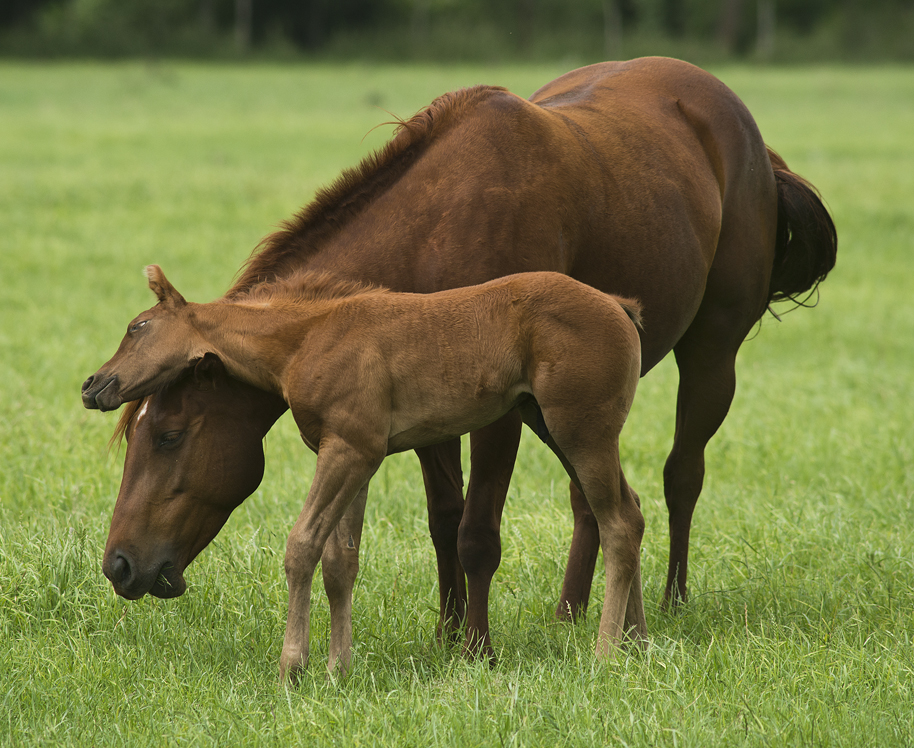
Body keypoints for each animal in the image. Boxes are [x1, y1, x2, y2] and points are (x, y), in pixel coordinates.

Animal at [84, 265, 647, 679]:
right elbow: (341, 562)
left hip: (580, 430)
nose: (94, 385)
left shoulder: (350, 450)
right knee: (633, 513)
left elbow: (302, 546)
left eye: (137, 327)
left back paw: (605, 654)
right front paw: (339, 668)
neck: (306, 336)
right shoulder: (353, 457)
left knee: (618, 523)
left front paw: (293, 667)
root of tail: (617, 305)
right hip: (555, 426)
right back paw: (637, 641)